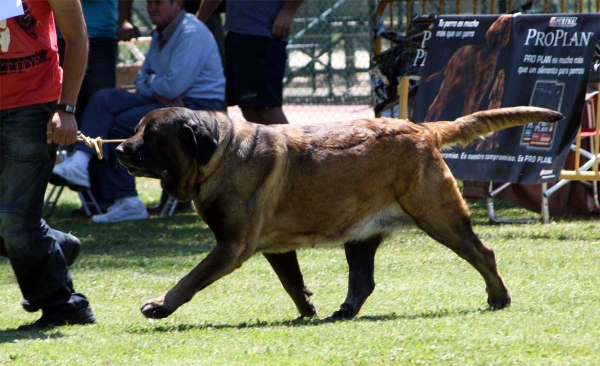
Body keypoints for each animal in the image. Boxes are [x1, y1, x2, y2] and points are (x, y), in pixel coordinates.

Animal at [116, 106, 564, 320]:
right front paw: (308, 311)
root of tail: (422, 129)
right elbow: (293, 284)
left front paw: (160, 305)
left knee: (483, 253)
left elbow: (190, 279)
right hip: (361, 237)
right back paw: (344, 311)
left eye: (151, 135)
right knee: (362, 280)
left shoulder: (230, 246)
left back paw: (498, 297)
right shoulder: (275, 248)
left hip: (441, 218)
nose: (119, 148)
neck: (219, 155)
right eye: (138, 129)